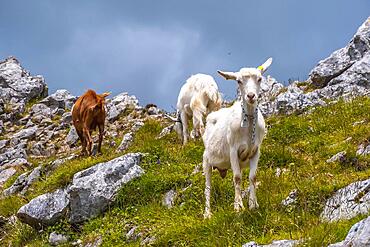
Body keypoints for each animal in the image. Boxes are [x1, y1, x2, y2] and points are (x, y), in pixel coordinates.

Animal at [202, 57, 272, 218]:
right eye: (239, 81)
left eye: (260, 78)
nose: (251, 96)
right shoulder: (233, 150)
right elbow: (237, 177)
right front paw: (238, 207)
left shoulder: (256, 151)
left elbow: (252, 177)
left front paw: (253, 205)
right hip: (206, 160)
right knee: (208, 186)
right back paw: (207, 214)